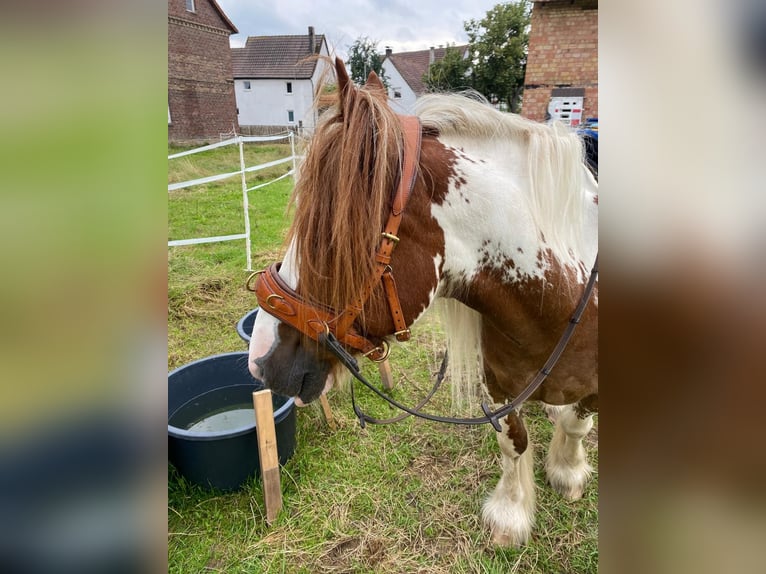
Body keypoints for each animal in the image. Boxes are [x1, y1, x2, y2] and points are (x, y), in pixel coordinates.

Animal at [247, 57, 598, 547]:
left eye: (328, 237)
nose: (259, 359)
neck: (555, 299)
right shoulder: (498, 383)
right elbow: (513, 441)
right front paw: (511, 514)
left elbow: (575, 424)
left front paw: (567, 471)